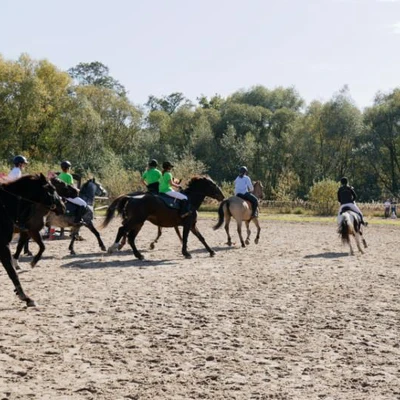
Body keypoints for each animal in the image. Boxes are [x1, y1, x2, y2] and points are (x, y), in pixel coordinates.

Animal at [0, 173, 64, 308]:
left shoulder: (28, 231)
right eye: (53, 189)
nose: (63, 206)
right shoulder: (5, 245)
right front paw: (26, 297)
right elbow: (12, 272)